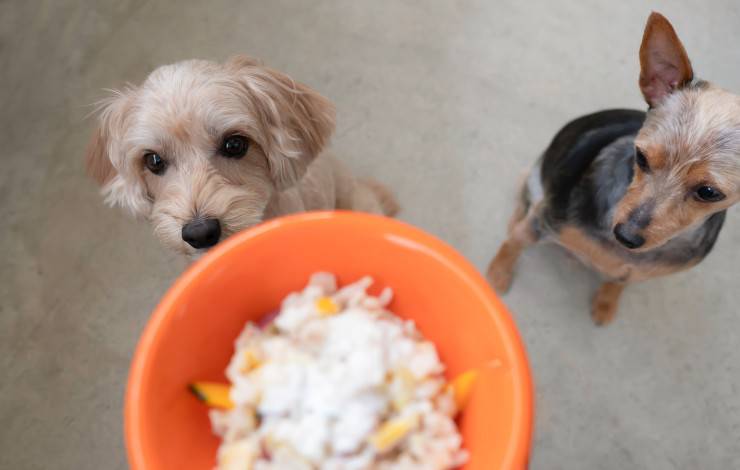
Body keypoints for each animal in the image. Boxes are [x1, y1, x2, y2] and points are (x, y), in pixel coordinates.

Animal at [488, 12, 736, 324]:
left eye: (709, 192)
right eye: (641, 157)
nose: (625, 236)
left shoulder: (634, 272)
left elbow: (619, 280)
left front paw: (606, 304)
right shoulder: (541, 221)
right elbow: (515, 242)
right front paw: (498, 274)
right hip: (534, 179)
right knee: (524, 203)